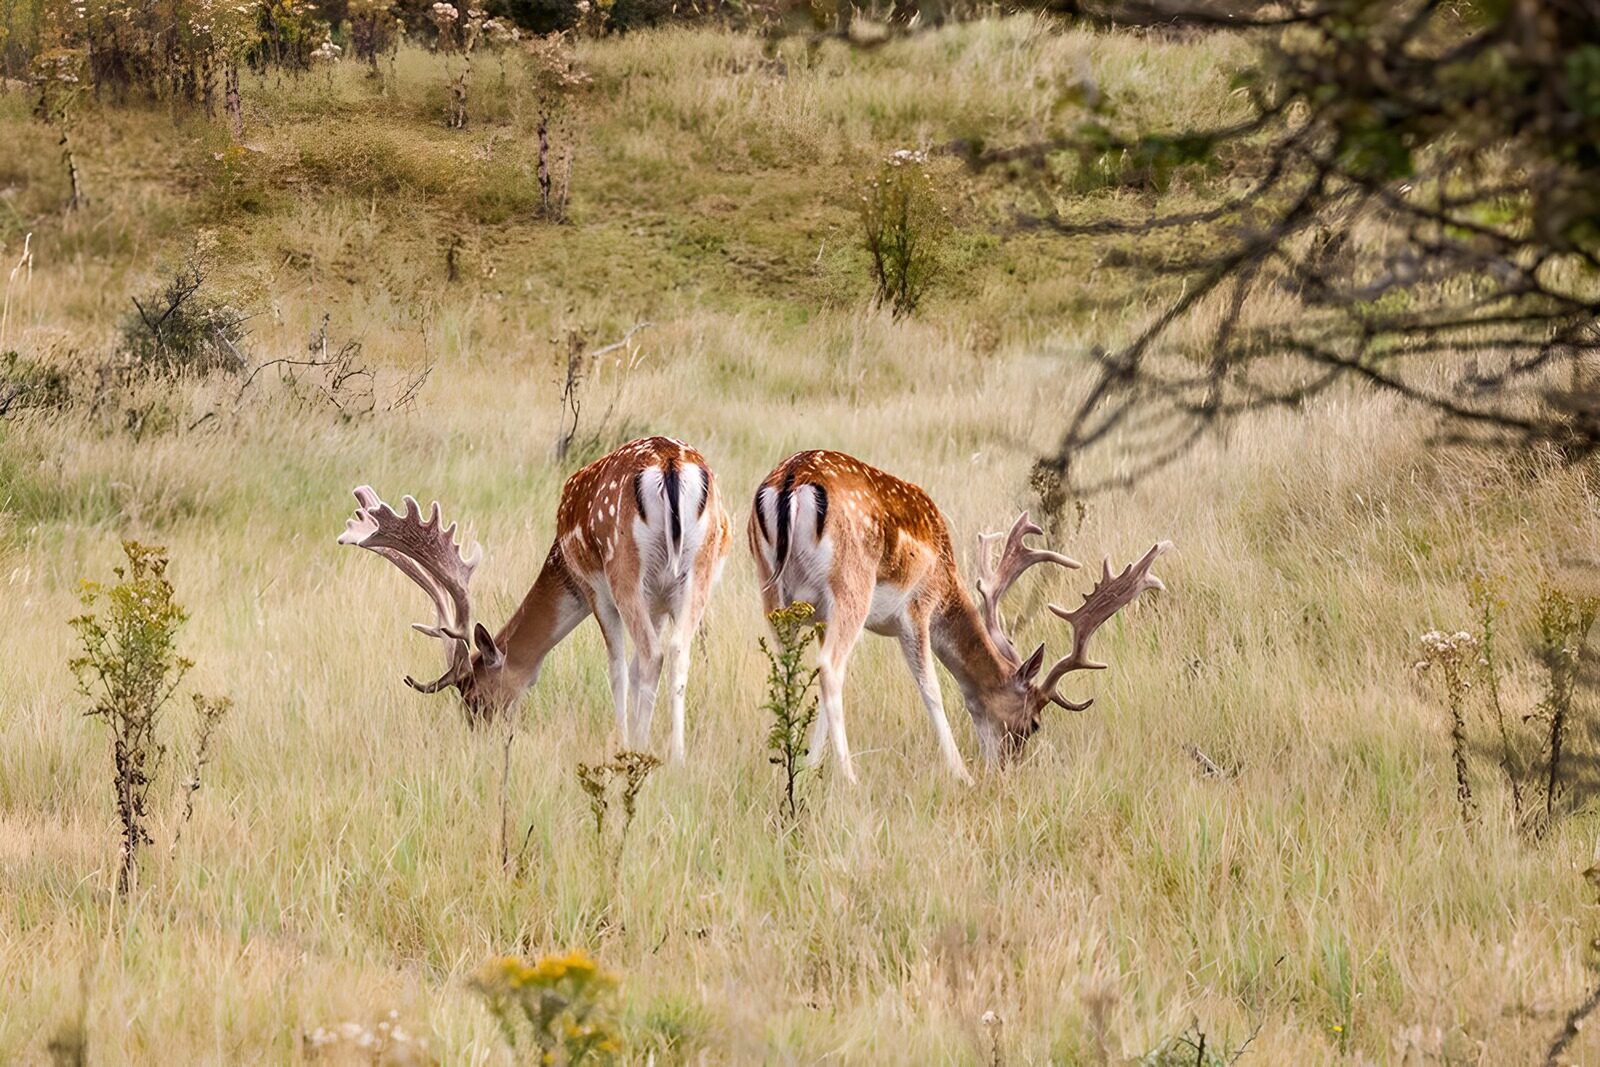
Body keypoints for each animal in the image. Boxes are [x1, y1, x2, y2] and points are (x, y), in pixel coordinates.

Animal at [338, 436, 732, 760]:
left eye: (475, 696)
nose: (480, 735)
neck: (561, 564)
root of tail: (670, 464)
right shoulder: (659, 604)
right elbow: (635, 668)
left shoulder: (596, 590)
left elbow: (619, 669)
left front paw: (626, 739)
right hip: (699, 572)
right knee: (678, 652)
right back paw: (677, 757)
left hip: (623, 568)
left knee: (653, 655)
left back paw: (641, 750)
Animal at [748, 450, 1169, 784]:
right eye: (1033, 723)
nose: (1006, 769)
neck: (948, 578)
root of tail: (792, 482)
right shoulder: (917, 609)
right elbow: (931, 688)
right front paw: (960, 773)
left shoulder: (822, 618)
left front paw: (811, 766)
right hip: (851, 585)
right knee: (830, 666)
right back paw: (851, 778)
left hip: (771, 589)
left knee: (794, 668)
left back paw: (790, 770)